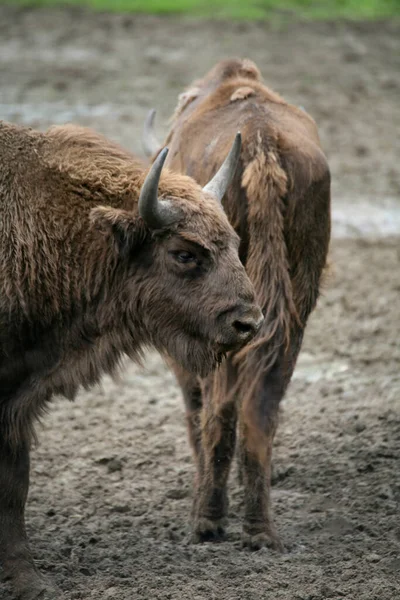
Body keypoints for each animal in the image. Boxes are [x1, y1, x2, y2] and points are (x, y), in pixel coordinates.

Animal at [0, 118, 262, 600]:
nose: (248, 323)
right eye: (184, 253)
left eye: (235, 242)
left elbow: (15, 484)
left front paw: (30, 581)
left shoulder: (15, 402)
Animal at [143, 58, 332, 552]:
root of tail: (262, 143)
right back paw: (259, 530)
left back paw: (207, 521)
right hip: (292, 311)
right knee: (261, 404)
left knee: (220, 408)